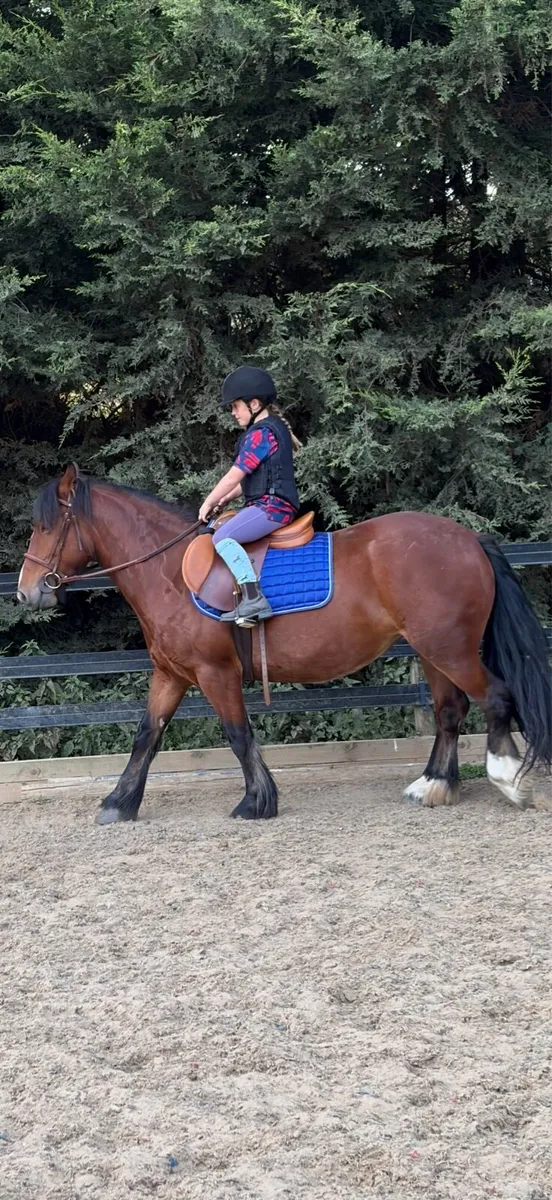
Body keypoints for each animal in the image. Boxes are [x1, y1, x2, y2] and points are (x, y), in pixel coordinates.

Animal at [16, 465, 550, 824]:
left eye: (46, 526)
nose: (26, 591)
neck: (169, 574)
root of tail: (469, 539)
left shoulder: (215, 672)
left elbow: (237, 734)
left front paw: (257, 801)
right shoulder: (172, 673)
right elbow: (147, 735)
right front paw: (119, 803)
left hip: (450, 650)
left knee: (495, 698)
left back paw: (508, 779)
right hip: (434, 651)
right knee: (450, 711)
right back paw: (435, 785)